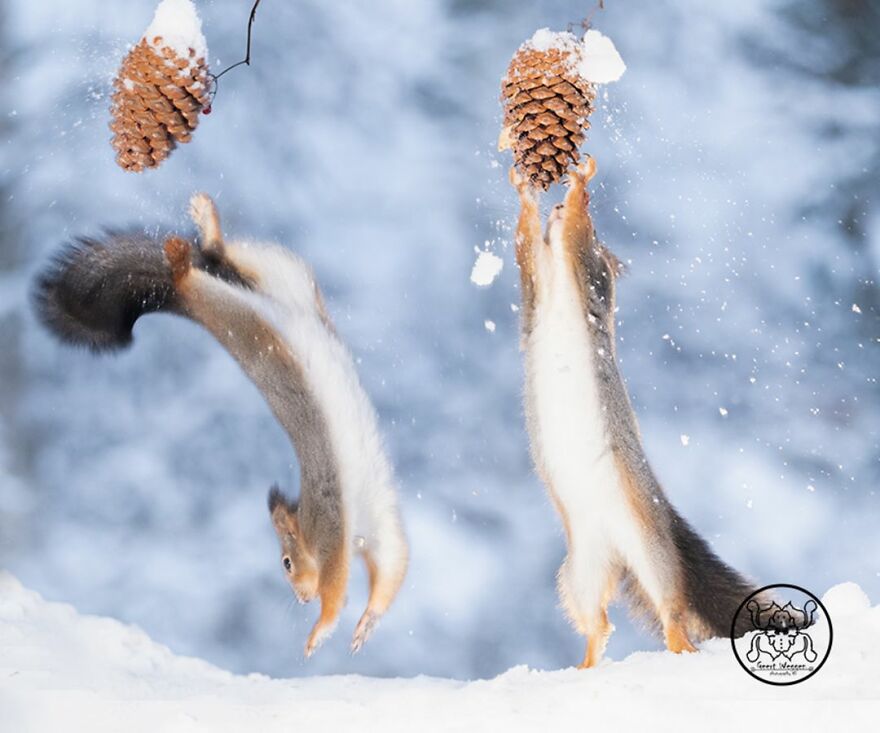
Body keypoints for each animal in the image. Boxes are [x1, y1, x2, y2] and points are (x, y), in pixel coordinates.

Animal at [33, 193, 409, 658]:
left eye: (286, 562)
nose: (301, 598)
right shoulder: (366, 532)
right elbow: (389, 575)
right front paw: (363, 622)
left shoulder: (336, 530)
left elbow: (352, 583)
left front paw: (322, 628)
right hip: (270, 274)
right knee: (215, 262)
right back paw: (195, 238)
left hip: (259, 283)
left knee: (206, 269)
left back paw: (188, 243)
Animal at [511, 159, 758, 668]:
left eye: (604, 235)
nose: (555, 205)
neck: (559, 290)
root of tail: (616, 550)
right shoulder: (535, 296)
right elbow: (526, 250)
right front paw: (526, 191)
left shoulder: (587, 279)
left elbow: (574, 247)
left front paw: (578, 191)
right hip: (581, 574)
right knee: (598, 622)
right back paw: (585, 665)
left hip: (653, 553)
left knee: (672, 609)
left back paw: (680, 648)